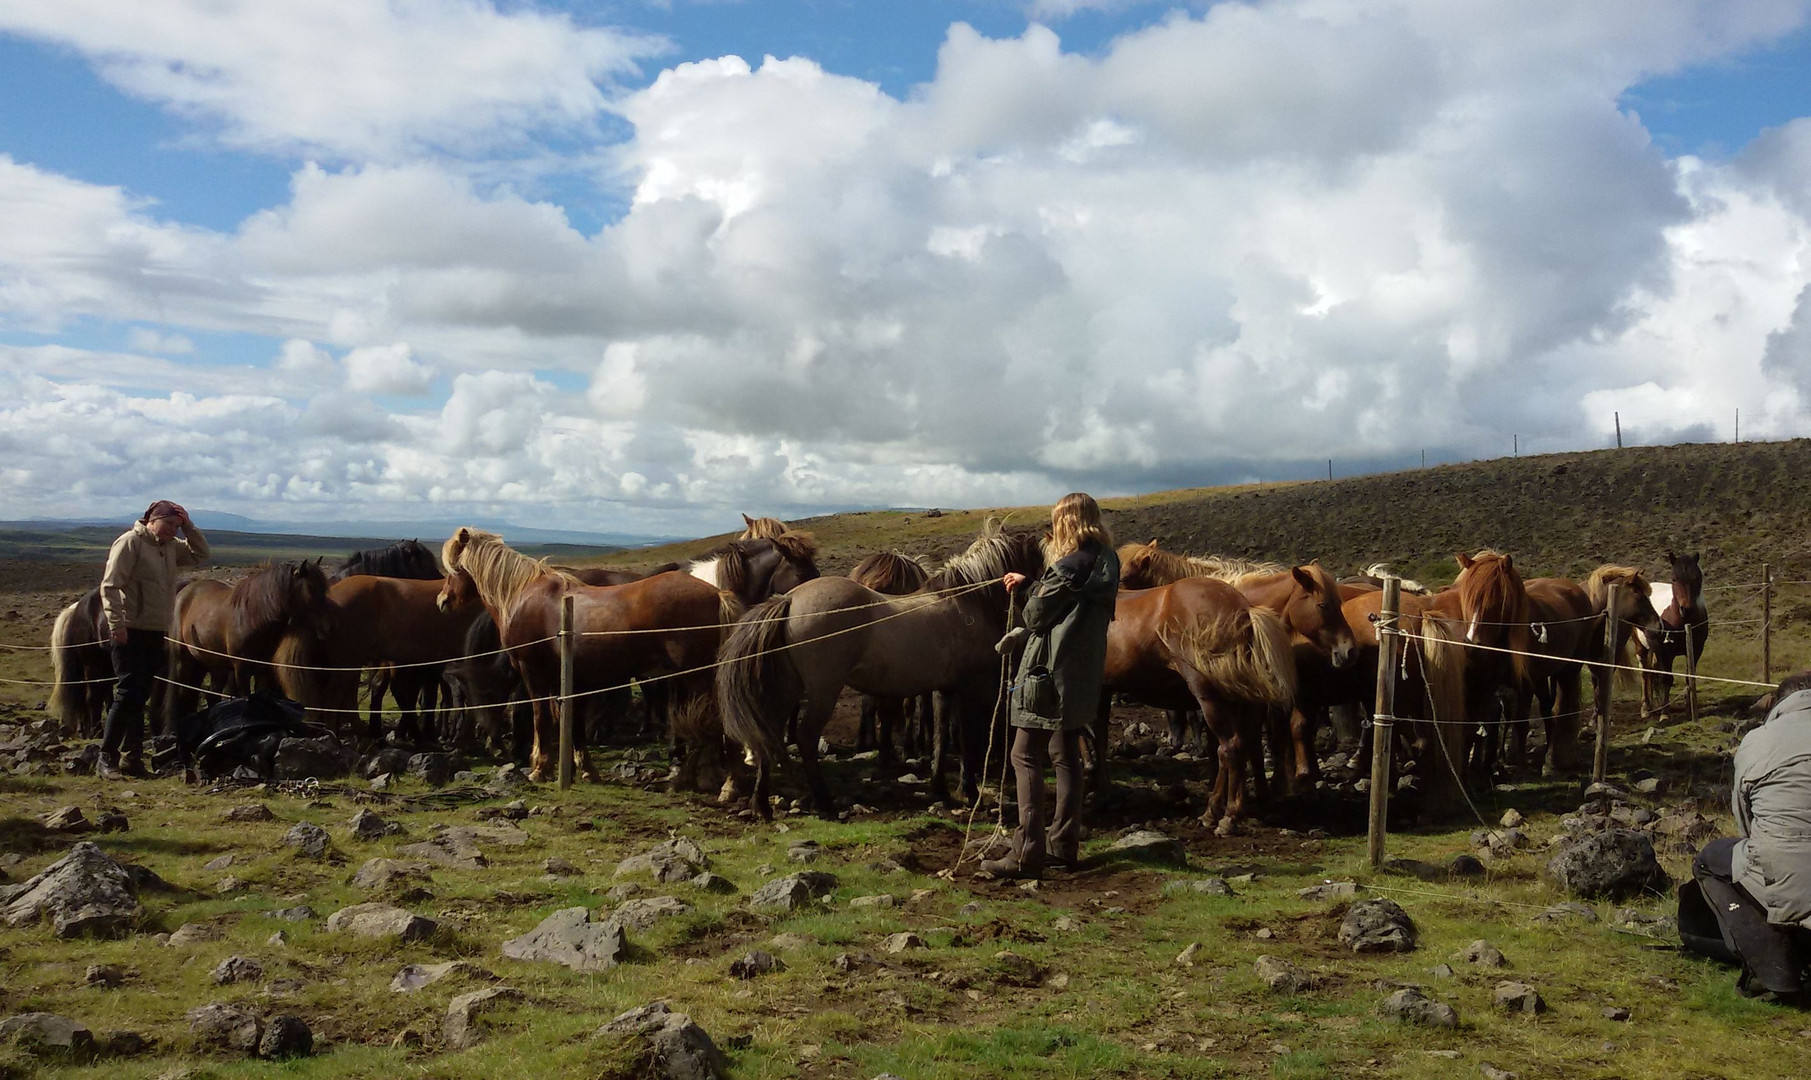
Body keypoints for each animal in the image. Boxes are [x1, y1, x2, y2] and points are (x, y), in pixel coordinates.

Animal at [713, 529, 1043, 815]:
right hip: (822, 691)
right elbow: (966, 741)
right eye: (1038, 561)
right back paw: (824, 802)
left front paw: (941, 789)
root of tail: (789, 598)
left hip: (788, 688)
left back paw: (761, 803)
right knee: (805, 737)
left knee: (770, 732)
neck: (963, 601)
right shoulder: (968, 690)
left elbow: (940, 737)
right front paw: (969, 791)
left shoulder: (944, 690)